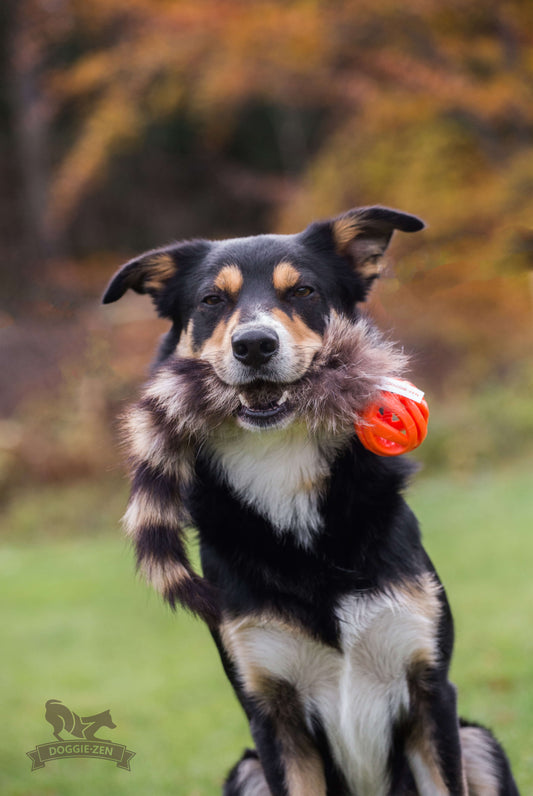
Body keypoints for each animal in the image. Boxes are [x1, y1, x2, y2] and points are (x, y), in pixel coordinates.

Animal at [102, 208, 516, 792]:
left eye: (303, 291)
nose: (254, 344)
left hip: (478, 742)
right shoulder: (272, 715)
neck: (284, 465)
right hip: (247, 769)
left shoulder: (430, 690)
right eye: (212, 300)